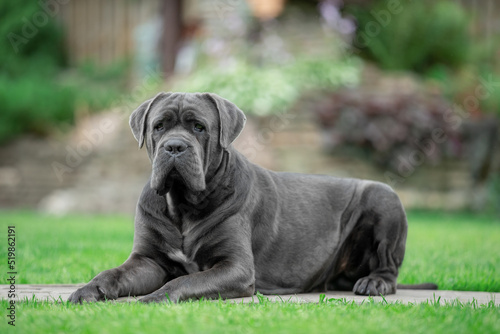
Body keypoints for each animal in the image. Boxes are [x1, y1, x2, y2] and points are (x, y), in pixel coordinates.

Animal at [68, 92, 436, 304]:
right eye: (159, 126)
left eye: (199, 127)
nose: (174, 147)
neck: (184, 205)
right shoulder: (148, 260)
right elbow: (113, 274)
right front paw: (90, 289)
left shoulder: (235, 267)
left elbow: (187, 280)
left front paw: (154, 298)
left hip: (384, 197)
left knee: (389, 267)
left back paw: (374, 283)